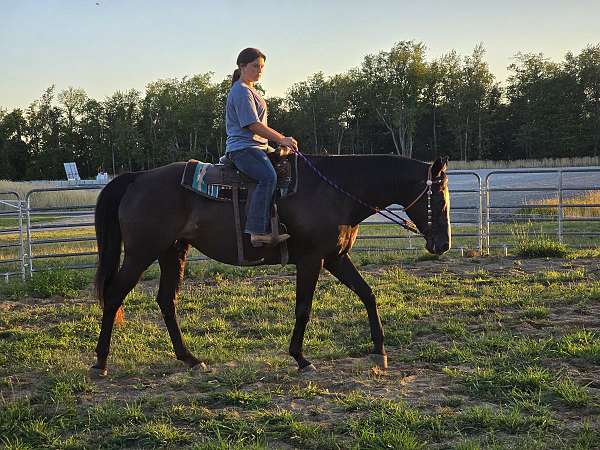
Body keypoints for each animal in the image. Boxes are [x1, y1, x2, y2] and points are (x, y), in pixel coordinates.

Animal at [91, 153, 450, 374]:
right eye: (439, 200)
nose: (443, 245)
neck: (336, 192)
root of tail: (137, 178)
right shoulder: (311, 260)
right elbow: (303, 308)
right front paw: (301, 358)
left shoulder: (335, 257)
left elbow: (367, 294)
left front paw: (379, 349)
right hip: (141, 253)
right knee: (114, 295)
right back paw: (101, 362)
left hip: (171, 251)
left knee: (167, 300)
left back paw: (190, 359)